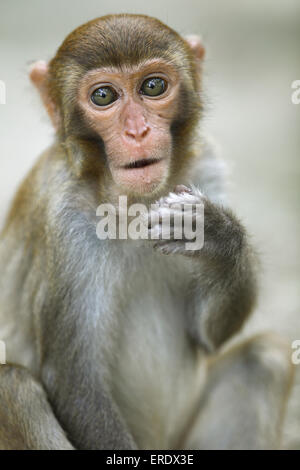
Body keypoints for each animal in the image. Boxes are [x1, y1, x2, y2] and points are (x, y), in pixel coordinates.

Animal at [0, 12, 292, 450]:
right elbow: (76, 383)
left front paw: (215, 234)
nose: (137, 131)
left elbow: (208, 334)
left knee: (265, 359)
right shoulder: (61, 218)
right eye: (103, 96)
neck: (129, 203)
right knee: (13, 387)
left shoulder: (206, 167)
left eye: (153, 86)